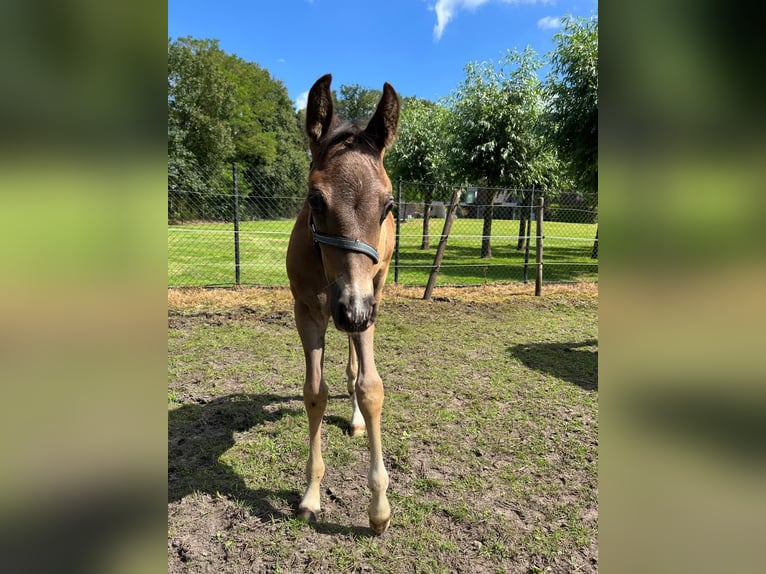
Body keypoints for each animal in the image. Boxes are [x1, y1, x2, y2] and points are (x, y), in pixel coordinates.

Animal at [284, 73, 400, 536]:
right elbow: (314, 392)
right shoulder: (307, 311)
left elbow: (371, 388)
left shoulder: (370, 301)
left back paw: (353, 417)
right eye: (315, 199)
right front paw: (311, 496)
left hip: (375, 292)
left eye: (389, 205)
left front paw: (379, 509)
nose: (353, 310)